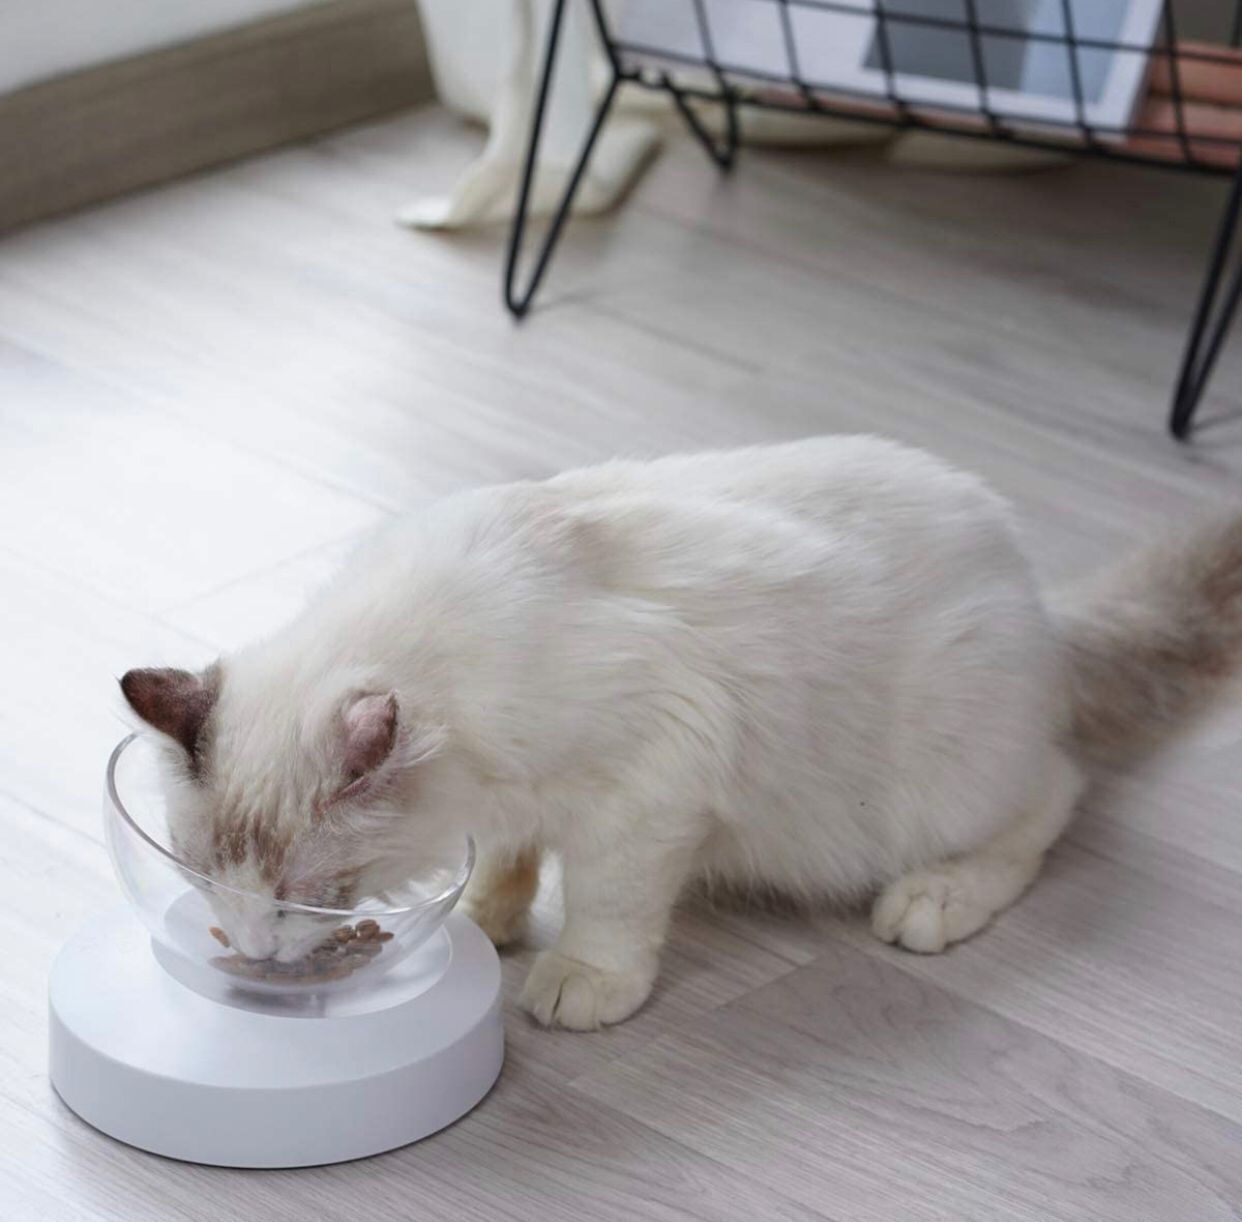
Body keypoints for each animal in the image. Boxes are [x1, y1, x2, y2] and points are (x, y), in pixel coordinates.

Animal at [121, 437, 1242, 1029]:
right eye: (205, 883)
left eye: (300, 900)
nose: (253, 951)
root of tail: (1039, 598)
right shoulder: (523, 796)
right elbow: (512, 859)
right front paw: (488, 917)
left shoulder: (643, 792)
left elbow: (609, 909)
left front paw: (579, 981)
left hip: (933, 785)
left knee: (1055, 794)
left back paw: (934, 900)